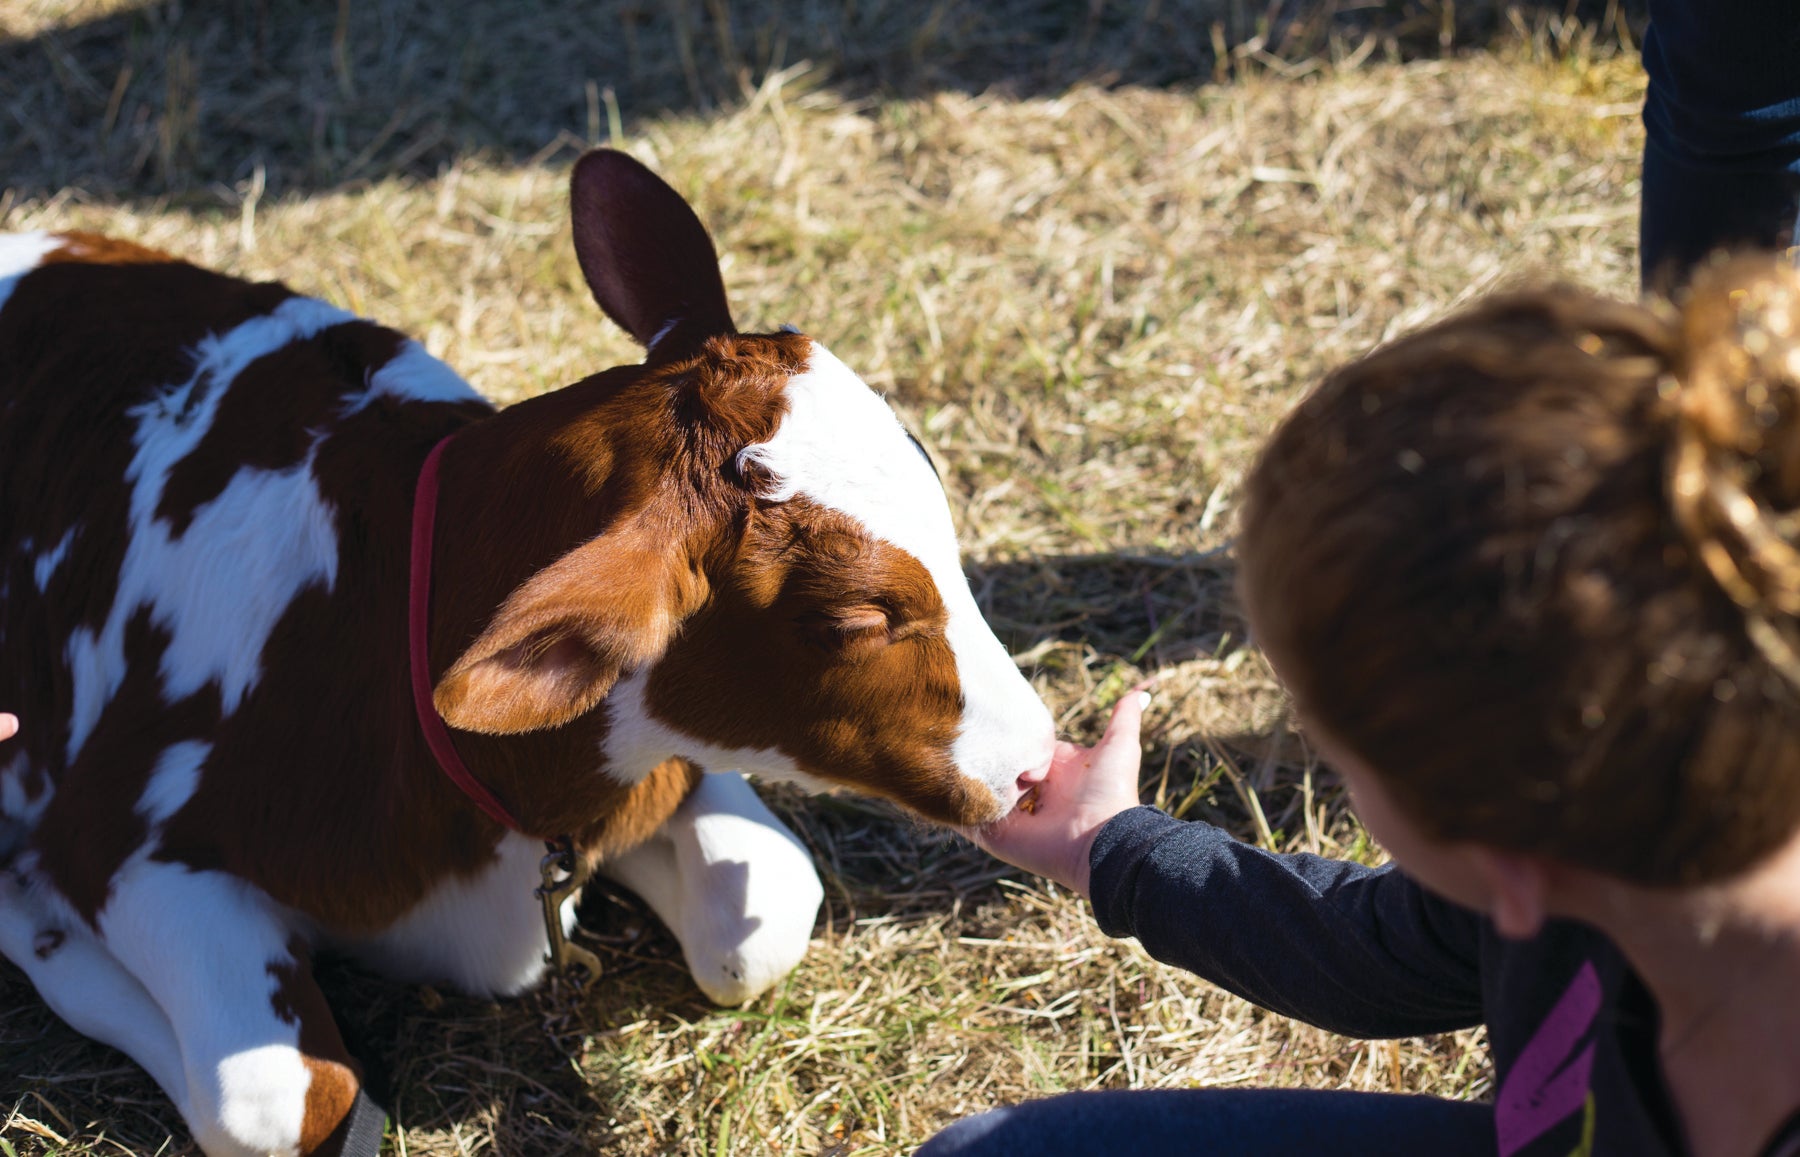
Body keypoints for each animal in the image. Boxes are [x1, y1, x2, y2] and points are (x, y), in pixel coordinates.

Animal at [0, 149, 1057, 1156]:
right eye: (858, 617)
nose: (1038, 761)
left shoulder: (655, 763)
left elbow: (760, 924)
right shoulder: (118, 840)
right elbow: (278, 1102)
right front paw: (45, 928)